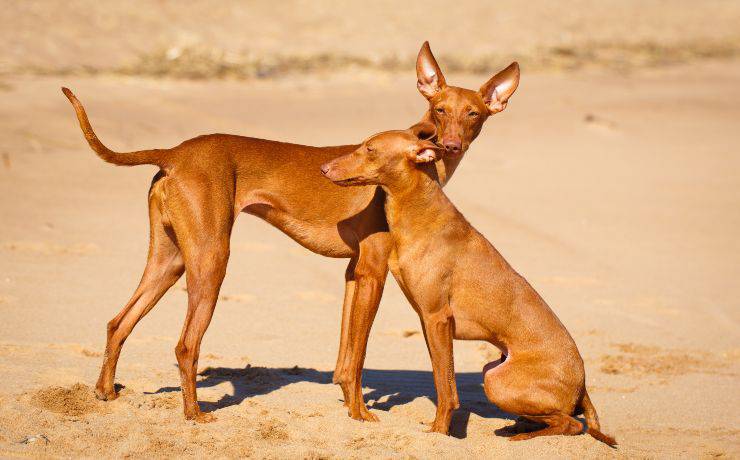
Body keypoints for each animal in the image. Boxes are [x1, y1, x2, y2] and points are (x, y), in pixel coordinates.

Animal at [62, 41, 520, 422]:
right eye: (440, 108)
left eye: (473, 114)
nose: (450, 144)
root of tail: (174, 152)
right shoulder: (374, 272)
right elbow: (358, 355)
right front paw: (361, 415)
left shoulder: (353, 272)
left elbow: (345, 357)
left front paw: (351, 407)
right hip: (211, 260)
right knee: (186, 343)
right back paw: (194, 414)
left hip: (169, 260)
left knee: (118, 322)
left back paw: (105, 391)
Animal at [320, 123, 616, 446]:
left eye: (370, 149)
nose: (324, 168)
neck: (420, 213)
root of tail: (584, 382)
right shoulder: (429, 322)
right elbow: (442, 376)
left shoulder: (437, 317)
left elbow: (445, 388)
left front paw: (438, 433)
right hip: (493, 369)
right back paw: (519, 426)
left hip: (496, 380)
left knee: (570, 423)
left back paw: (521, 437)